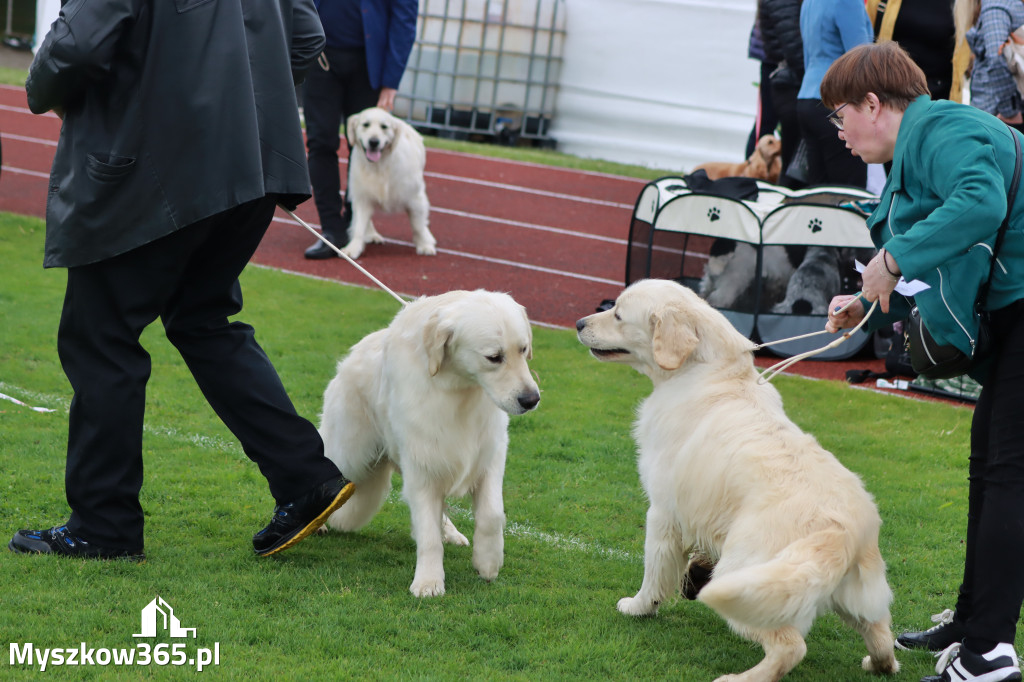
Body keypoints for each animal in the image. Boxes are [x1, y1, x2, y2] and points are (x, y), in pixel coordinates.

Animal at [319, 288, 544, 593]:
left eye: (523, 349)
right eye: (494, 357)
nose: (532, 400)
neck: (459, 391)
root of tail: (350, 358)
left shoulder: (489, 458)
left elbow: (492, 515)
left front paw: (488, 562)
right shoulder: (422, 466)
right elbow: (428, 535)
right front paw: (428, 582)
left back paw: (452, 533)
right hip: (349, 453)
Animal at [342, 107, 434, 259]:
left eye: (384, 127)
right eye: (365, 124)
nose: (374, 142)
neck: (380, 166)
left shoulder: (415, 198)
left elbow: (418, 225)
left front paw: (425, 245)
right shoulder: (362, 196)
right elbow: (359, 226)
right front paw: (353, 248)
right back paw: (371, 234)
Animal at [577, 278, 897, 679]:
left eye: (618, 314)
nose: (578, 323)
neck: (704, 372)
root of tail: (840, 532)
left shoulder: (663, 513)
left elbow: (655, 570)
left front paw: (639, 607)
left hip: (743, 582)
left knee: (790, 647)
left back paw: (739, 677)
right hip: (851, 596)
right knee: (882, 635)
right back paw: (878, 664)